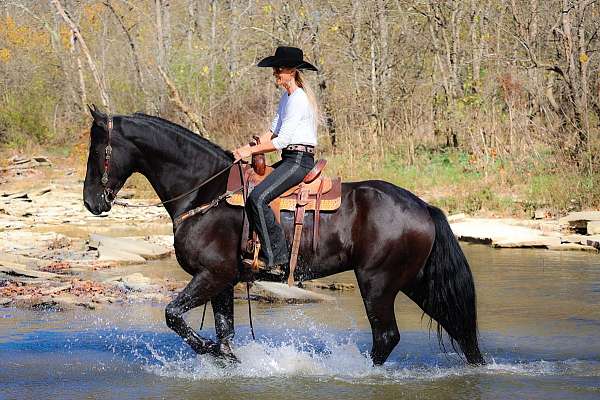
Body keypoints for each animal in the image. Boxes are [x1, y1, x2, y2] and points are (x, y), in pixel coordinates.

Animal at [83, 107, 482, 366]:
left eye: (97, 150)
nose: (91, 202)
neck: (204, 192)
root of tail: (423, 207)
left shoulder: (212, 275)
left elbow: (173, 316)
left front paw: (210, 351)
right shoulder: (223, 281)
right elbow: (225, 333)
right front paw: (225, 358)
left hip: (378, 283)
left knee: (386, 337)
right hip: (416, 281)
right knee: (459, 327)